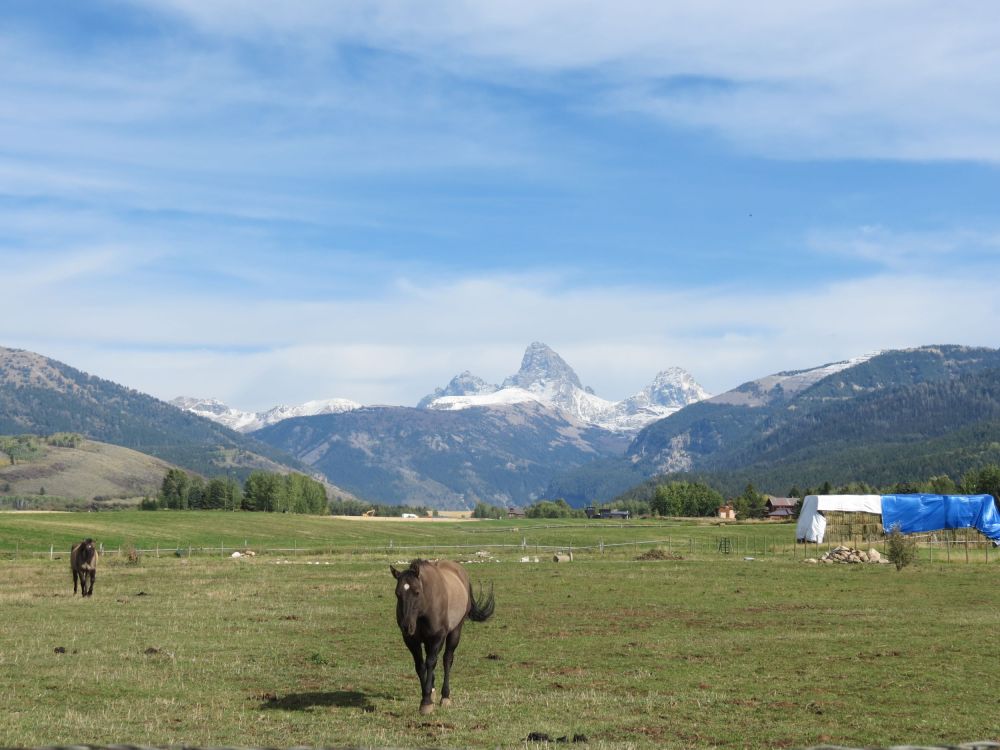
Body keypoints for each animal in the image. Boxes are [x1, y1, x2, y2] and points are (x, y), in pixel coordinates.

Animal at [390, 559, 495, 714]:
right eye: (398, 593)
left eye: (417, 592)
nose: (406, 626)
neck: (424, 609)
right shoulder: (411, 641)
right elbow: (420, 666)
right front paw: (427, 694)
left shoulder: (437, 638)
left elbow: (431, 662)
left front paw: (426, 702)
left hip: (455, 631)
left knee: (447, 660)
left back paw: (445, 696)